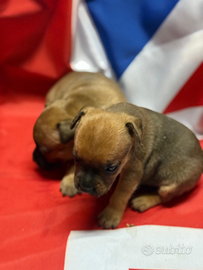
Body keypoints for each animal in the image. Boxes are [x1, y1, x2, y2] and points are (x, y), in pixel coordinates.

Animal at [70, 102, 203, 229]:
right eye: (76, 158)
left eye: (112, 168)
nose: (86, 187)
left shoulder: (132, 173)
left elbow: (120, 195)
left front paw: (111, 215)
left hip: (172, 186)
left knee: (165, 197)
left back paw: (143, 200)